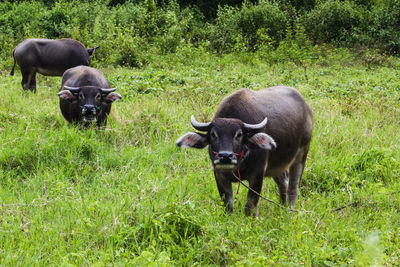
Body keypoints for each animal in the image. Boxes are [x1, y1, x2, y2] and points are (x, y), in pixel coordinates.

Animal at [177, 87, 312, 217]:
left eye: (239, 134)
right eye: (213, 134)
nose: (225, 156)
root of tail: (306, 107)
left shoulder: (258, 173)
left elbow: (250, 205)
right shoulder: (218, 173)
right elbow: (228, 204)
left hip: (301, 155)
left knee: (293, 187)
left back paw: (290, 211)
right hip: (277, 165)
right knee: (283, 181)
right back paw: (282, 207)